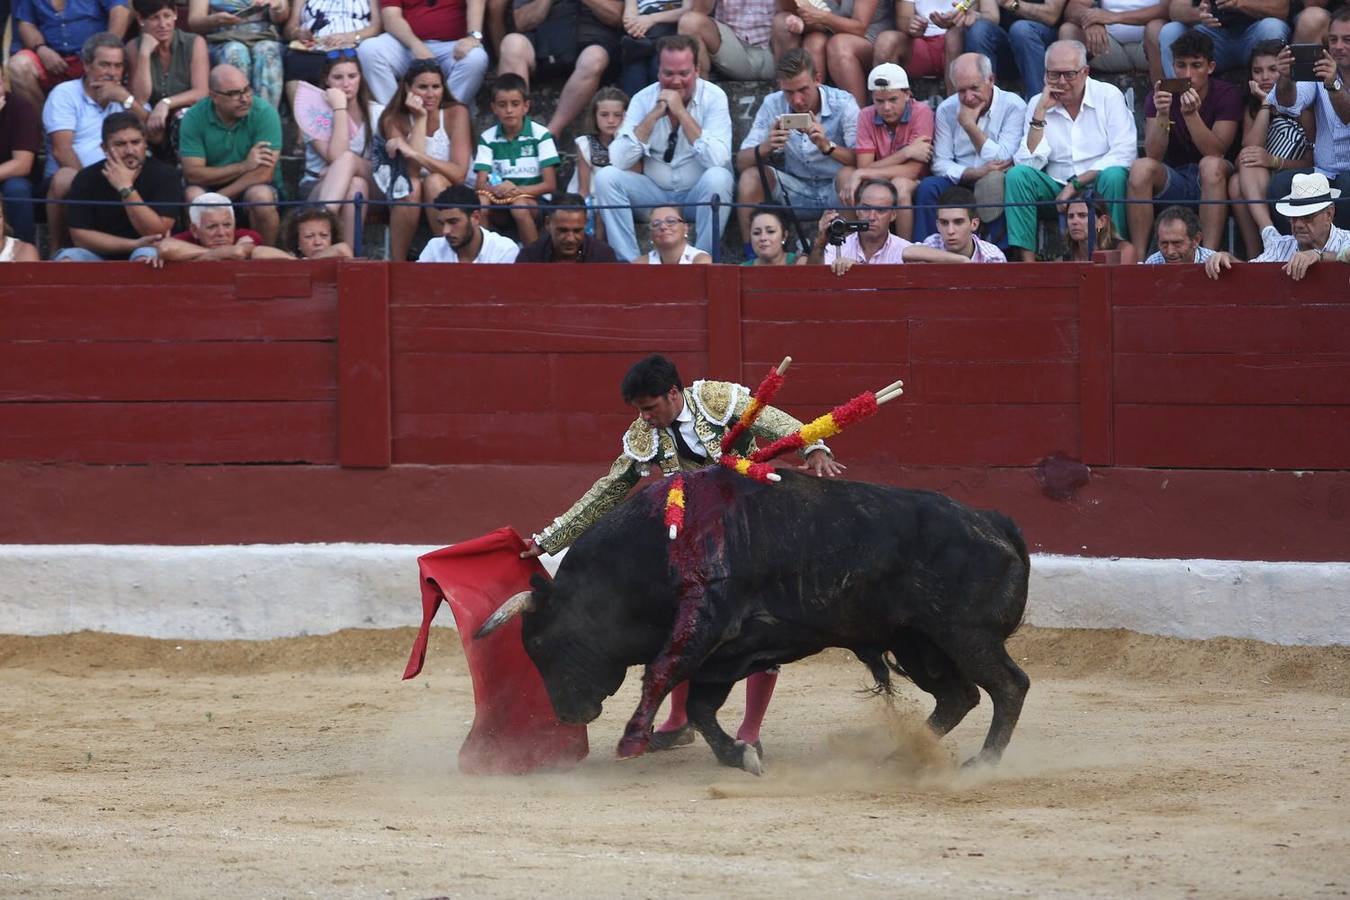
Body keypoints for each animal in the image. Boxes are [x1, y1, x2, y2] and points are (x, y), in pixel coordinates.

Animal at [480, 464, 1026, 777]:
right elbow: (699, 705)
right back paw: (900, 757)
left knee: (1008, 685)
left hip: (964, 634)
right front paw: (738, 754)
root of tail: (993, 520)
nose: (568, 714)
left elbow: (660, 672)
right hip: (919, 643)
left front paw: (633, 738)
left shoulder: (704, 623)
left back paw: (984, 762)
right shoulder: (726, 653)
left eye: (543, 644)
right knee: (959, 696)